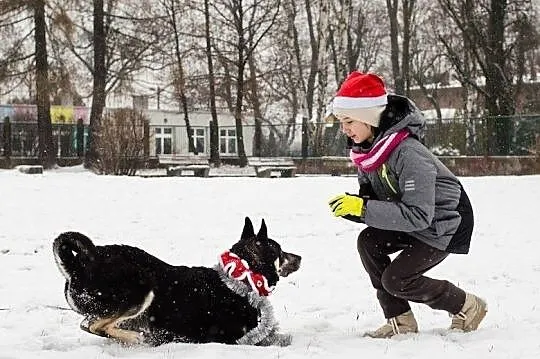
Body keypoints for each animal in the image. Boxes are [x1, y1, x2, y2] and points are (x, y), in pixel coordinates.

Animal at [52, 218, 302, 348]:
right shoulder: (238, 338)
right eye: (280, 252)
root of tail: (80, 263)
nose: (299, 257)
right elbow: (279, 338)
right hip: (141, 288)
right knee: (93, 325)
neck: (239, 277)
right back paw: (137, 338)